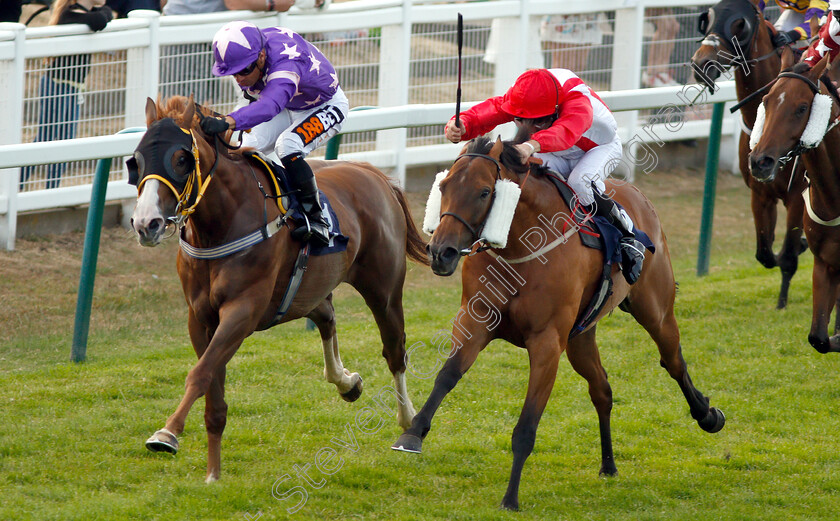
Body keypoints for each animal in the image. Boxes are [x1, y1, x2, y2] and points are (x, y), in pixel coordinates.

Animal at [130, 96, 426, 480]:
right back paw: (347, 381)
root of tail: (374, 173)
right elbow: (212, 388)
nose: (145, 224)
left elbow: (200, 374)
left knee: (394, 351)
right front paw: (213, 474)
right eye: (135, 161)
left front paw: (167, 433)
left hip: (383, 288)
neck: (222, 224)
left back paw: (407, 421)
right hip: (308, 290)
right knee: (327, 315)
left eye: (181, 159)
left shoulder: (242, 311)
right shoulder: (200, 318)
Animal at [390, 136, 724, 510]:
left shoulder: (547, 342)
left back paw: (708, 415)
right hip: (581, 337)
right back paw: (608, 464)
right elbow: (447, 376)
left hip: (656, 310)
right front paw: (412, 433)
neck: (519, 248)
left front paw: (510, 497)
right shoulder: (475, 322)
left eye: (483, 192)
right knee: (602, 389)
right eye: (444, 186)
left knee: (673, 361)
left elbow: (527, 424)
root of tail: (638, 195)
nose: (440, 253)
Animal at [688, 0, 808, 308]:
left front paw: (781, 304)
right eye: (707, 18)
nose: (702, 64)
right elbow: (765, 254)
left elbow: (788, 257)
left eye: (739, 24)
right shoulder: (760, 193)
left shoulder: (797, 195)